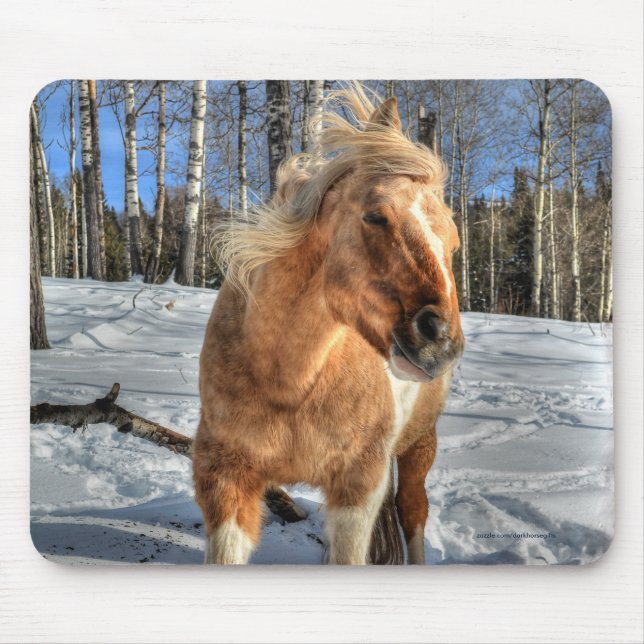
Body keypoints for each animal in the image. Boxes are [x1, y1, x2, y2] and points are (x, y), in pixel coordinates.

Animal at [193, 85, 464, 565]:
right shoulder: (224, 476)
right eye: (375, 216)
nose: (441, 342)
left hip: (419, 445)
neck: (291, 382)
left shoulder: (358, 488)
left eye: (453, 242)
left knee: (413, 510)